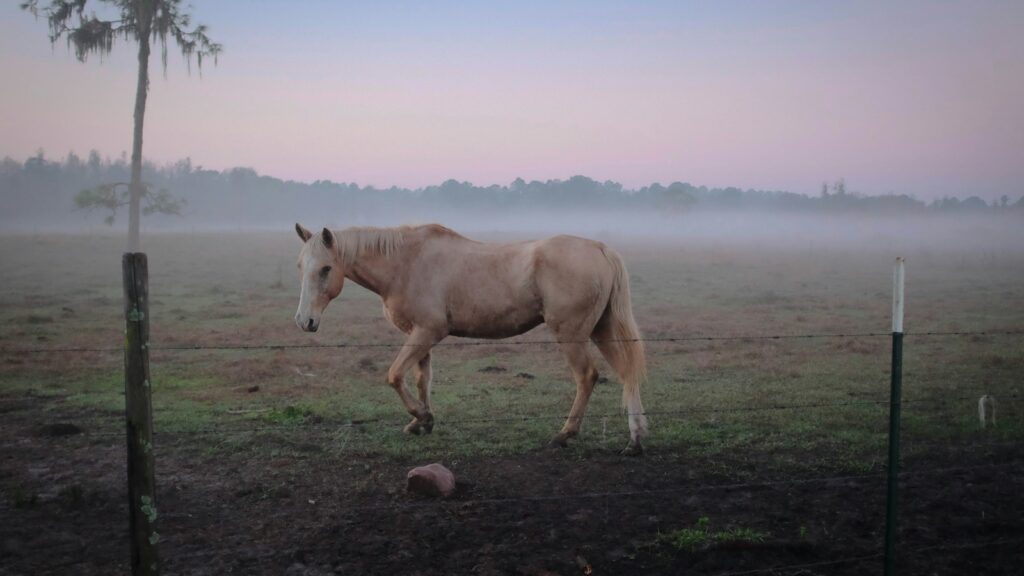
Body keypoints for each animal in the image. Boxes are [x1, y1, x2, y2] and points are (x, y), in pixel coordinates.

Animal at [293, 223, 649, 454]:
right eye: (300, 266)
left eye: (326, 269)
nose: (304, 321)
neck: (406, 263)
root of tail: (600, 248)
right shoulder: (420, 336)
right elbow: (421, 380)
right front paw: (422, 422)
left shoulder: (428, 332)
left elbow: (394, 376)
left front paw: (421, 417)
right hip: (602, 330)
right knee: (627, 374)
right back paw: (634, 439)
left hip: (572, 335)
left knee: (587, 377)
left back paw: (565, 434)